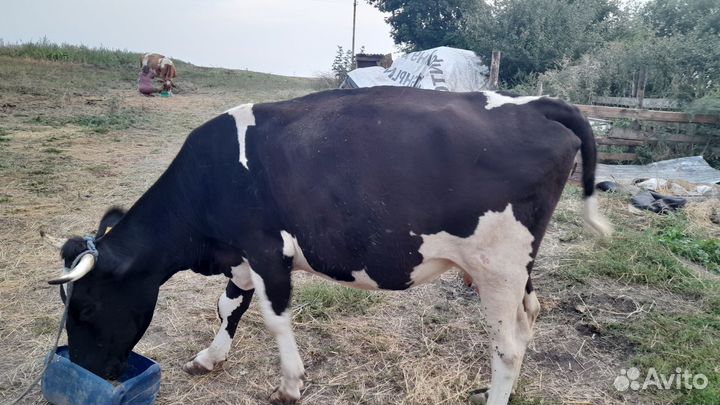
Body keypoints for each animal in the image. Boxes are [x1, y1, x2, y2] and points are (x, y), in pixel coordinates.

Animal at [47, 87, 611, 405]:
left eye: (87, 308)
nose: (89, 371)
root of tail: (537, 104)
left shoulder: (264, 249)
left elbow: (273, 318)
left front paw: (290, 384)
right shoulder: (239, 254)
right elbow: (229, 305)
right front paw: (210, 357)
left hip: (498, 266)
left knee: (508, 345)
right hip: (518, 267)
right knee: (530, 316)